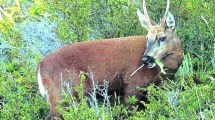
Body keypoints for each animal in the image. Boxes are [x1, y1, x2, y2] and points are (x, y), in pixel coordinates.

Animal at [36, 0, 183, 119]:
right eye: (147, 37)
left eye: (162, 37)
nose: (146, 59)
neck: (160, 73)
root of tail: (39, 66)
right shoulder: (132, 85)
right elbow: (130, 112)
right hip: (63, 95)